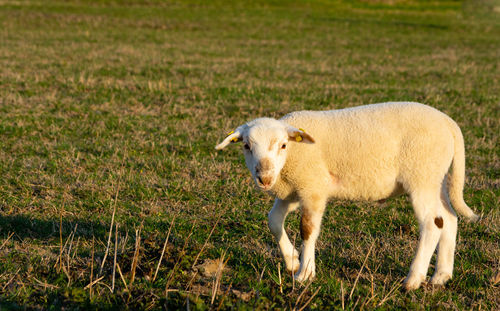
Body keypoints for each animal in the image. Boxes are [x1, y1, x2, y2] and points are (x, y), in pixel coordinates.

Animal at [216, 103, 480, 292]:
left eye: (282, 145)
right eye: (246, 146)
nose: (264, 178)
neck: (291, 158)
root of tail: (449, 124)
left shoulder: (313, 187)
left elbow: (308, 229)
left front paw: (305, 273)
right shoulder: (292, 191)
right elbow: (273, 221)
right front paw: (292, 261)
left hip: (421, 176)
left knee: (432, 224)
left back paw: (413, 280)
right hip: (437, 179)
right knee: (449, 218)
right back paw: (441, 276)